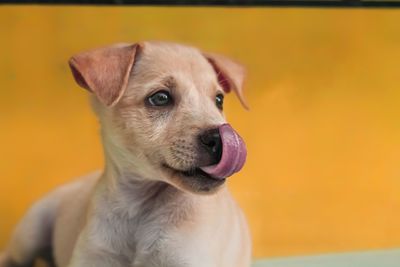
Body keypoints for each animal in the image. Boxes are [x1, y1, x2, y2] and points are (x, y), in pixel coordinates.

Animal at [0, 40, 250, 266]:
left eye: (219, 100)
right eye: (160, 98)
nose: (221, 140)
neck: (139, 210)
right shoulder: (92, 257)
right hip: (30, 233)